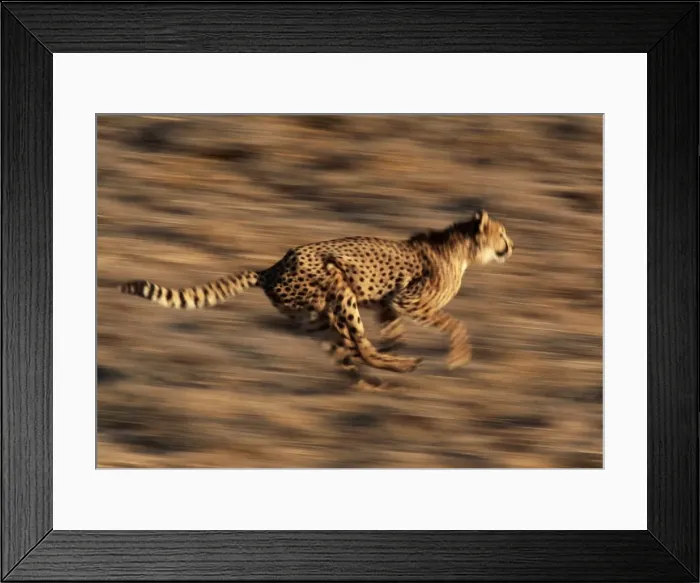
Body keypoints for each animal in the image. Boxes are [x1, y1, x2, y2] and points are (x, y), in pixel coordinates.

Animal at [120, 209, 513, 390]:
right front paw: (458, 358)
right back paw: (398, 367)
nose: (512, 246)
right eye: (502, 234)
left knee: (348, 354)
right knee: (359, 347)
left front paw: (395, 342)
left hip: (316, 319)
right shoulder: (408, 300)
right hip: (338, 287)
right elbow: (456, 324)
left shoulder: (389, 304)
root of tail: (270, 268)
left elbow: (391, 327)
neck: (462, 250)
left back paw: (371, 382)